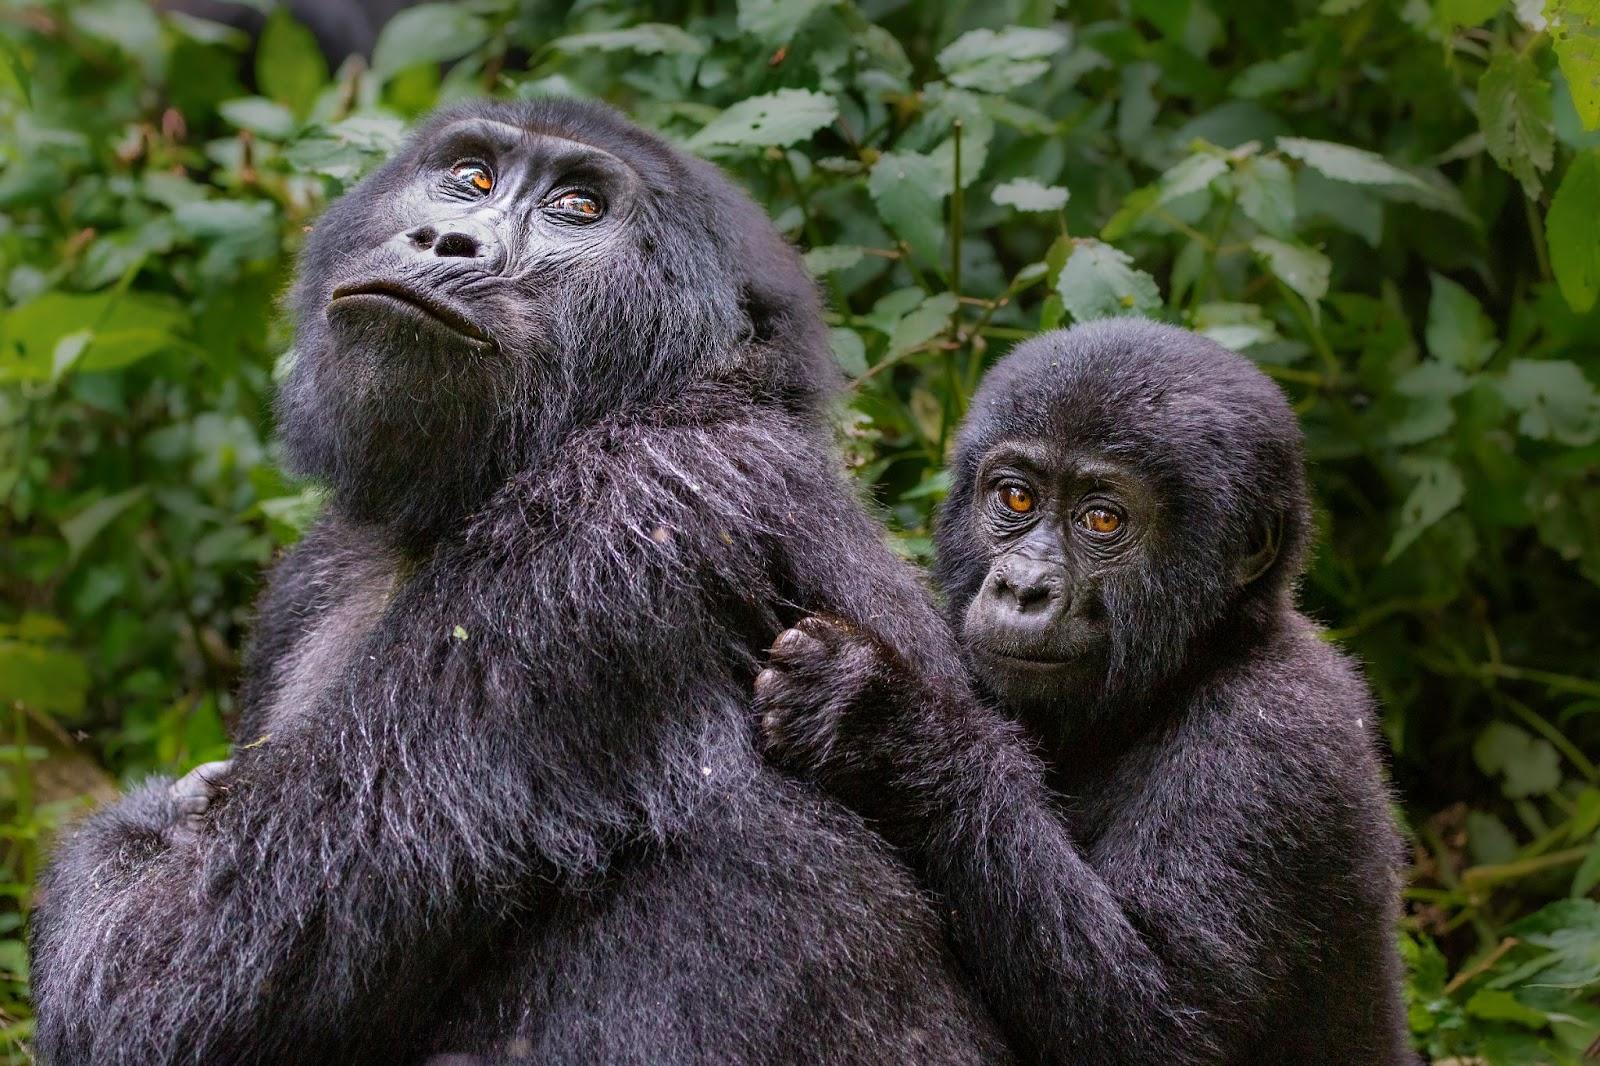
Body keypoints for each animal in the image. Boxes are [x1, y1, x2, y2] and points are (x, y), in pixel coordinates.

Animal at [31, 99, 1004, 1062]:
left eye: (577, 208)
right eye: (472, 177)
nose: (447, 239)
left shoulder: (615, 524)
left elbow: (159, 980)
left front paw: (163, 825)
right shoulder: (313, 570)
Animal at [758, 321, 1414, 1062]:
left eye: (1102, 519)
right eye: (1017, 499)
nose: (1023, 588)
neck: (1200, 659)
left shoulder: (1276, 738)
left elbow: (1160, 1021)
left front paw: (883, 726)